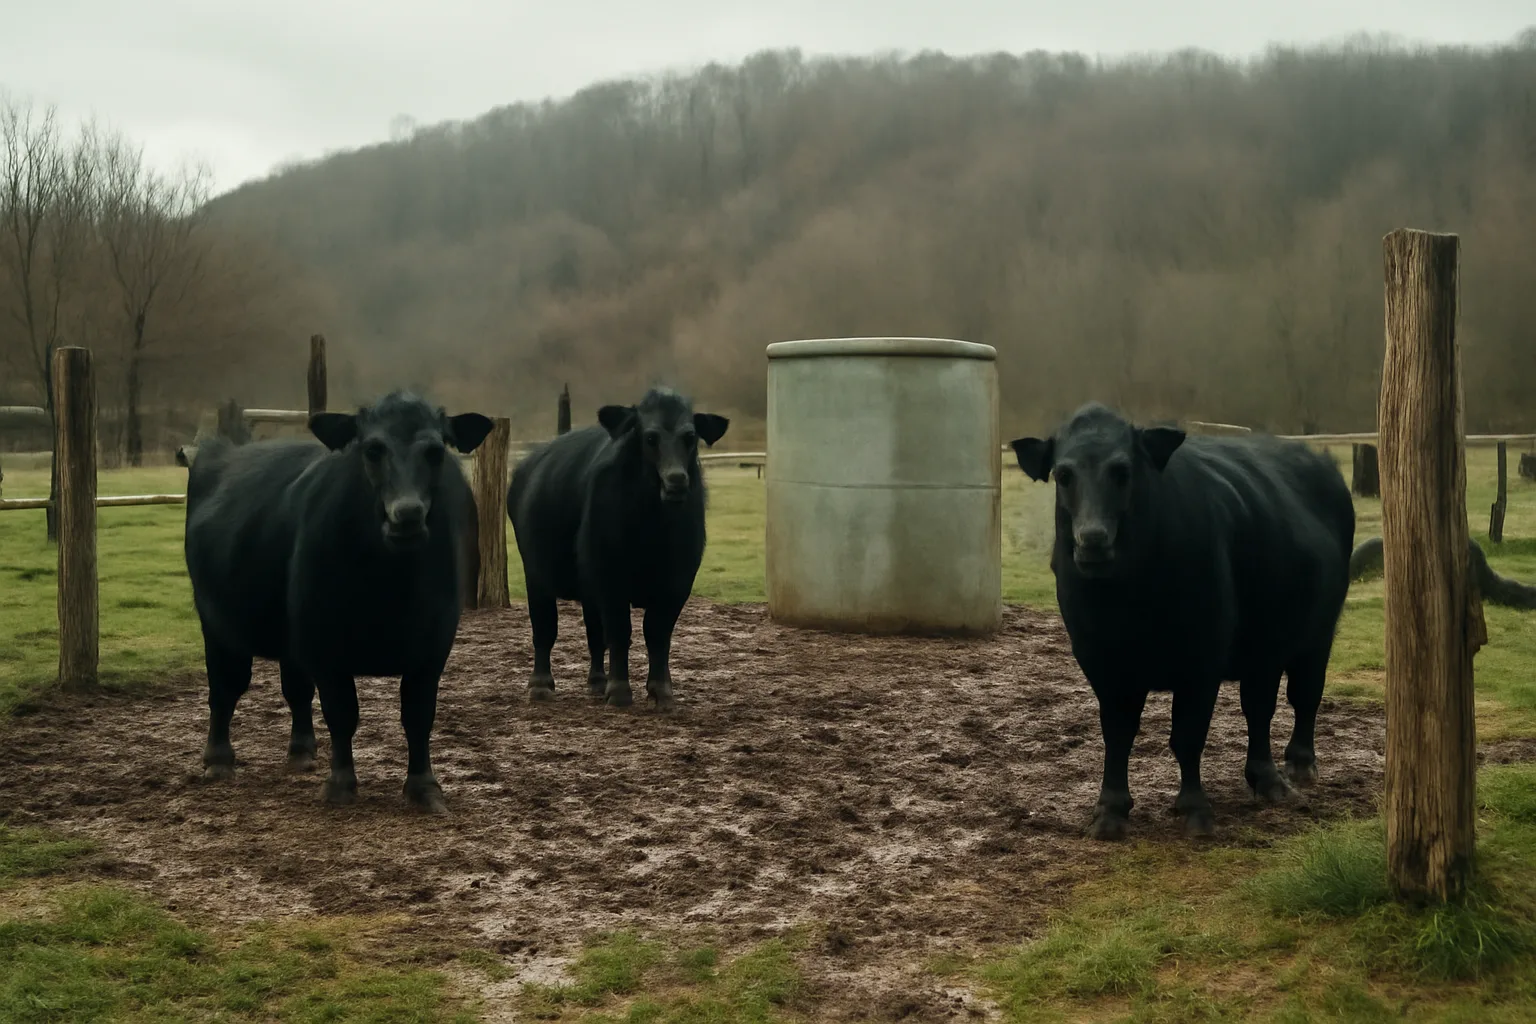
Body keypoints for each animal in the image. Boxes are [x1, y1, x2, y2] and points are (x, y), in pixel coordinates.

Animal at [183, 391, 493, 814]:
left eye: (435, 451)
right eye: (372, 449)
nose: (407, 514)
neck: (390, 591)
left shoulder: (433, 646)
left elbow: (418, 716)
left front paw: (424, 788)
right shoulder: (324, 645)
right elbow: (342, 713)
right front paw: (341, 783)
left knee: (295, 689)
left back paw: (301, 751)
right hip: (216, 623)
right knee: (225, 687)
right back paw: (218, 760)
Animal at [507, 386, 728, 711]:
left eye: (690, 437)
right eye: (650, 438)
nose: (676, 480)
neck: (653, 530)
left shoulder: (678, 583)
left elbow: (657, 634)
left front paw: (661, 691)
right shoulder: (610, 578)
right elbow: (620, 631)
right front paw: (621, 690)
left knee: (593, 633)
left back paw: (597, 681)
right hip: (536, 575)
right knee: (545, 627)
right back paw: (541, 684)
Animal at [1010, 402, 1355, 840]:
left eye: (1123, 471)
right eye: (1064, 474)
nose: (1093, 539)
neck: (1127, 602)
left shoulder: (1201, 661)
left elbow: (1187, 736)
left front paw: (1194, 808)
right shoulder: (1101, 663)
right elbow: (1117, 735)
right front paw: (1110, 810)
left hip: (1318, 633)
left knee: (1303, 696)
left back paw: (1297, 765)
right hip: (1262, 648)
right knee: (1259, 709)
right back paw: (1264, 776)